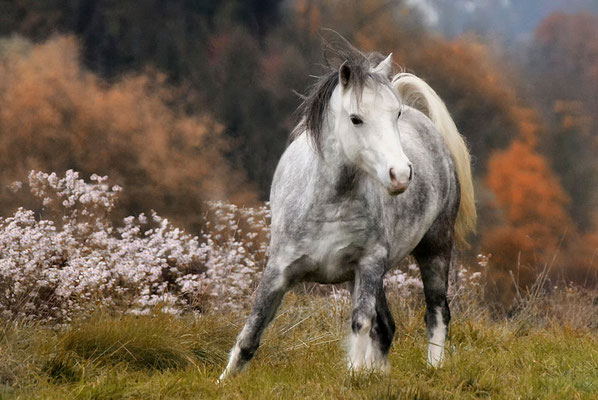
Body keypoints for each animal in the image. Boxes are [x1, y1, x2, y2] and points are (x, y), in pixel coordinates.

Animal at [220, 41, 478, 382]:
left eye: (395, 114)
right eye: (356, 118)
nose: (400, 175)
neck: (328, 204)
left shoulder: (368, 265)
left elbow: (361, 322)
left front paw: (355, 374)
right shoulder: (279, 269)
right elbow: (253, 328)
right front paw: (224, 380)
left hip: (434, 248)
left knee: (436, 311)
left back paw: (434, 367)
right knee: (387, 327)